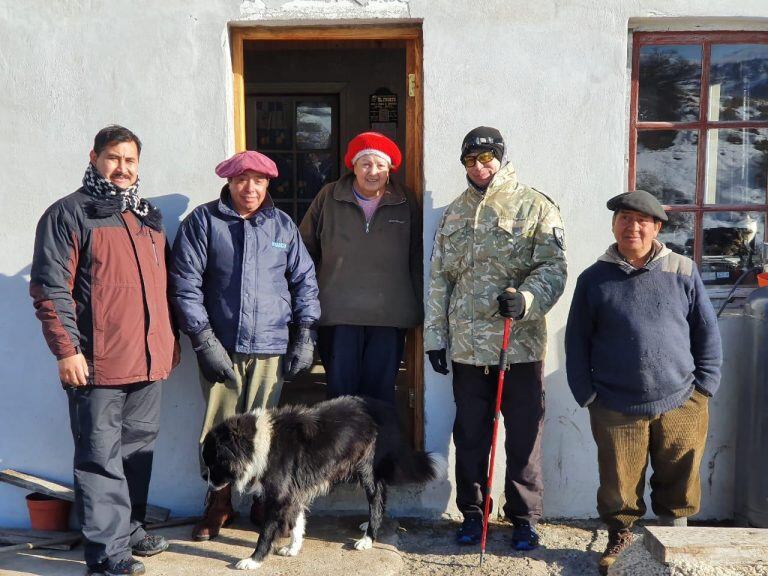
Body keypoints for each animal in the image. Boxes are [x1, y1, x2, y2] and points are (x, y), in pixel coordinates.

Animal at [201, 394, 448, 568]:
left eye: (213, 463)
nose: (206, 481)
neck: (254, 442)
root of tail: (388, 410)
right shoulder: (293, 492)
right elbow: (297, 522)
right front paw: (293, 548)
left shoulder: (279, 497)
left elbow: (266, 533)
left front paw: (253, 560)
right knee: (381, 495)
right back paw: (369, 525)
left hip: (367, 469)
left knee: (376, 497)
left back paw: (368, 538)